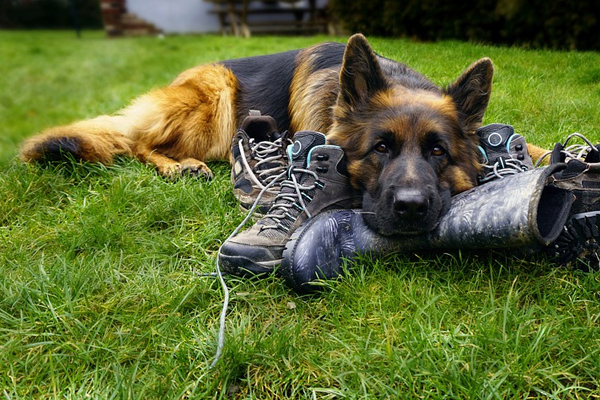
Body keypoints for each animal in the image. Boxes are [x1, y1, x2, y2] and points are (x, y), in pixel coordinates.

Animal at [17, 34, 544, 236]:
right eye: (380, 149)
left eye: (438, 152)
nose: (411, 209)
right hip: (216, 97)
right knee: (141, 142)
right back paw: (179, 165)